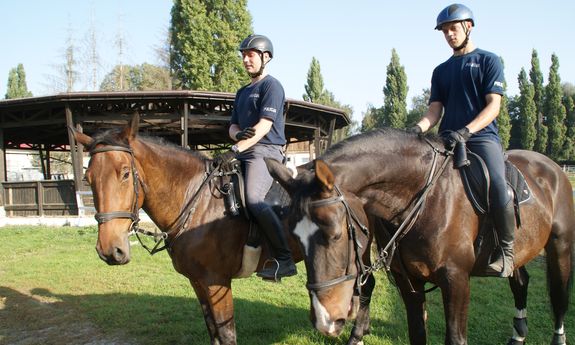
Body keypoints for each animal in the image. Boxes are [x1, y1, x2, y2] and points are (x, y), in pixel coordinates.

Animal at [70, 115, 372, 344]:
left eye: (124, 173)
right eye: (88, 177)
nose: (110, 250)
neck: (197, 201)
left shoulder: (217, 283)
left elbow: (226, 335)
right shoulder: (198, 282)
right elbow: (213, 332)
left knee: (367, 285)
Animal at [270, 127, 575, 344]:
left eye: (334, 234)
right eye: (294, 238)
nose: (325, 320)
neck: (423, 198)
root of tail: (552, 167)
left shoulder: (456, 280)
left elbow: (456, 338)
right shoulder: (409, 283)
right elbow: (417, 334)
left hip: (560, 246)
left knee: (559, 297)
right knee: (520, 282)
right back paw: (518, 334)